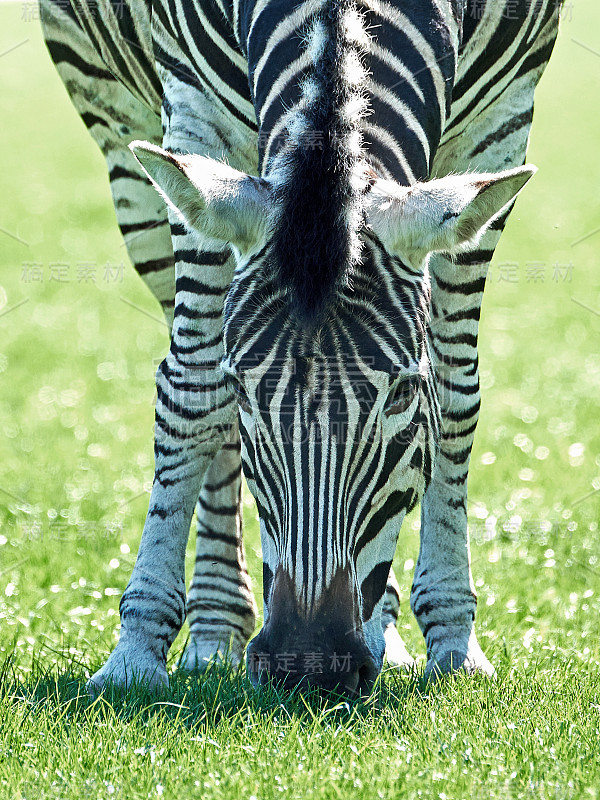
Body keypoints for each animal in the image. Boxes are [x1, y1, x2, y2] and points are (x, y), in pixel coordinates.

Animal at [42, 0, 564, 692]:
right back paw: (214, 627)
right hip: (122, 136)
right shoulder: (195, 111)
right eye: (243, 390)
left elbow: (457, 397)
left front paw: (455, 641)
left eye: (404, 395)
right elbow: (192, 393)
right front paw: (134, 652)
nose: (310, 662)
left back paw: (383, 630)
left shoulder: (502, 116)